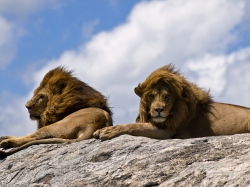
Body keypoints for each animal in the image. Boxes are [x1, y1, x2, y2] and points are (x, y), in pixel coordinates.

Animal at [93, 64, 250, 140]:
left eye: (167, 97)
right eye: (151, 96)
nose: (158, 110)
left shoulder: (167, 131)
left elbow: (132, 126)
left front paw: (107, 131)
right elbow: (134, 124)